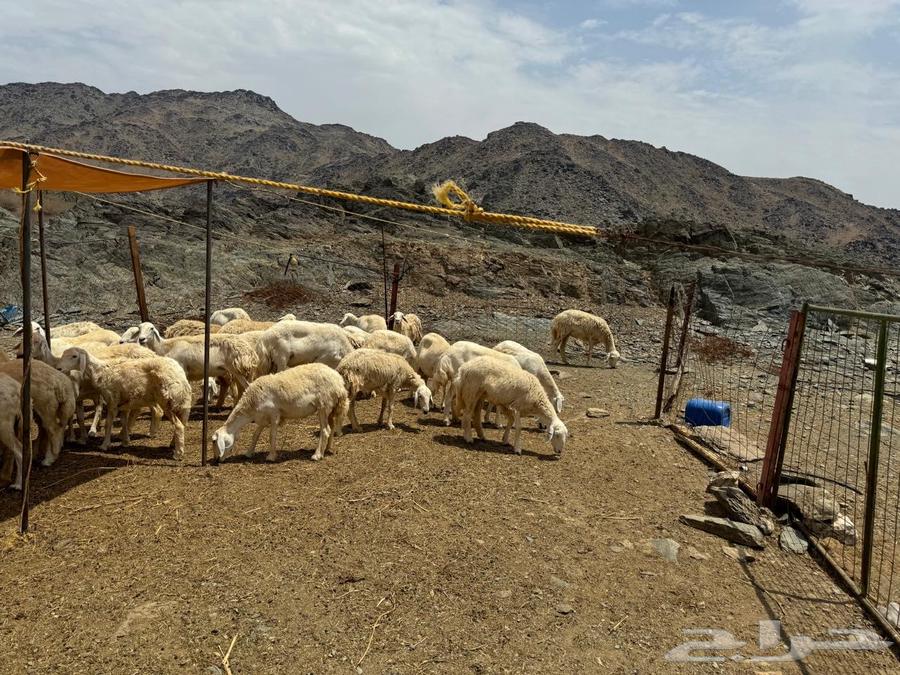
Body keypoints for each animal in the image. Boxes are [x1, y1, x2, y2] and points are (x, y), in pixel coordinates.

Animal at [55, 347, 192, 459]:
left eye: (74, 356)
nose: (58, 368)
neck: (101, 370)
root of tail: (180, 377)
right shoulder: (124, 402)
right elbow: (124, 421)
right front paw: (125, 441)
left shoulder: (112, 400)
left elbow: (108, 423)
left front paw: (105, 445)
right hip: (182, 403)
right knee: (182, 423)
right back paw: (174, 444)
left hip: (167, 401)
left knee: (178, 425)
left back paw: (178, 453)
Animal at [211, 363, 348, 462]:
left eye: (214, 442)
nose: (216, 460)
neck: (251, 404)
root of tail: (339, 382)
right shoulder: (263, 417)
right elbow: (255, 435)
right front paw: (249, 453)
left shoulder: (274, 414)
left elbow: (272, 435)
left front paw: (271, 456)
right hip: (331, 407)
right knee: (331, 427)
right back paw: (327, 449)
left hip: (323, 406)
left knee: (325, 430)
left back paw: (317, 454)